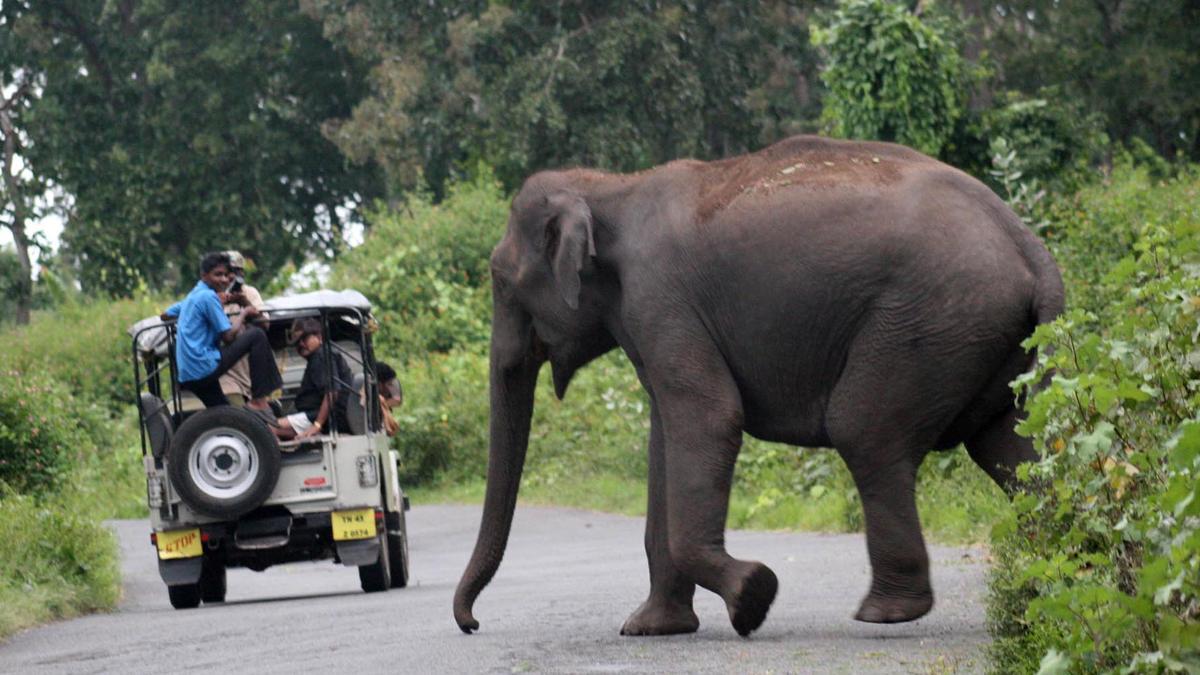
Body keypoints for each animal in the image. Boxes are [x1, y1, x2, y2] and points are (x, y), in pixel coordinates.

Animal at [453, 135, 1064, 637]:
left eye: (501, 281)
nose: (473, 623)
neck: (609, 186)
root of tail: (1031, 245)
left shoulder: (660, 298)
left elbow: (710, 420)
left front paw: (753, 597)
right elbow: (665, 442)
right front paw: (652, 629)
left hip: (929, 323)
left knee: (864, 430)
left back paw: (886, 613)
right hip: (983, 336)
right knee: (1006, 444)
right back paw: (1056, 573)